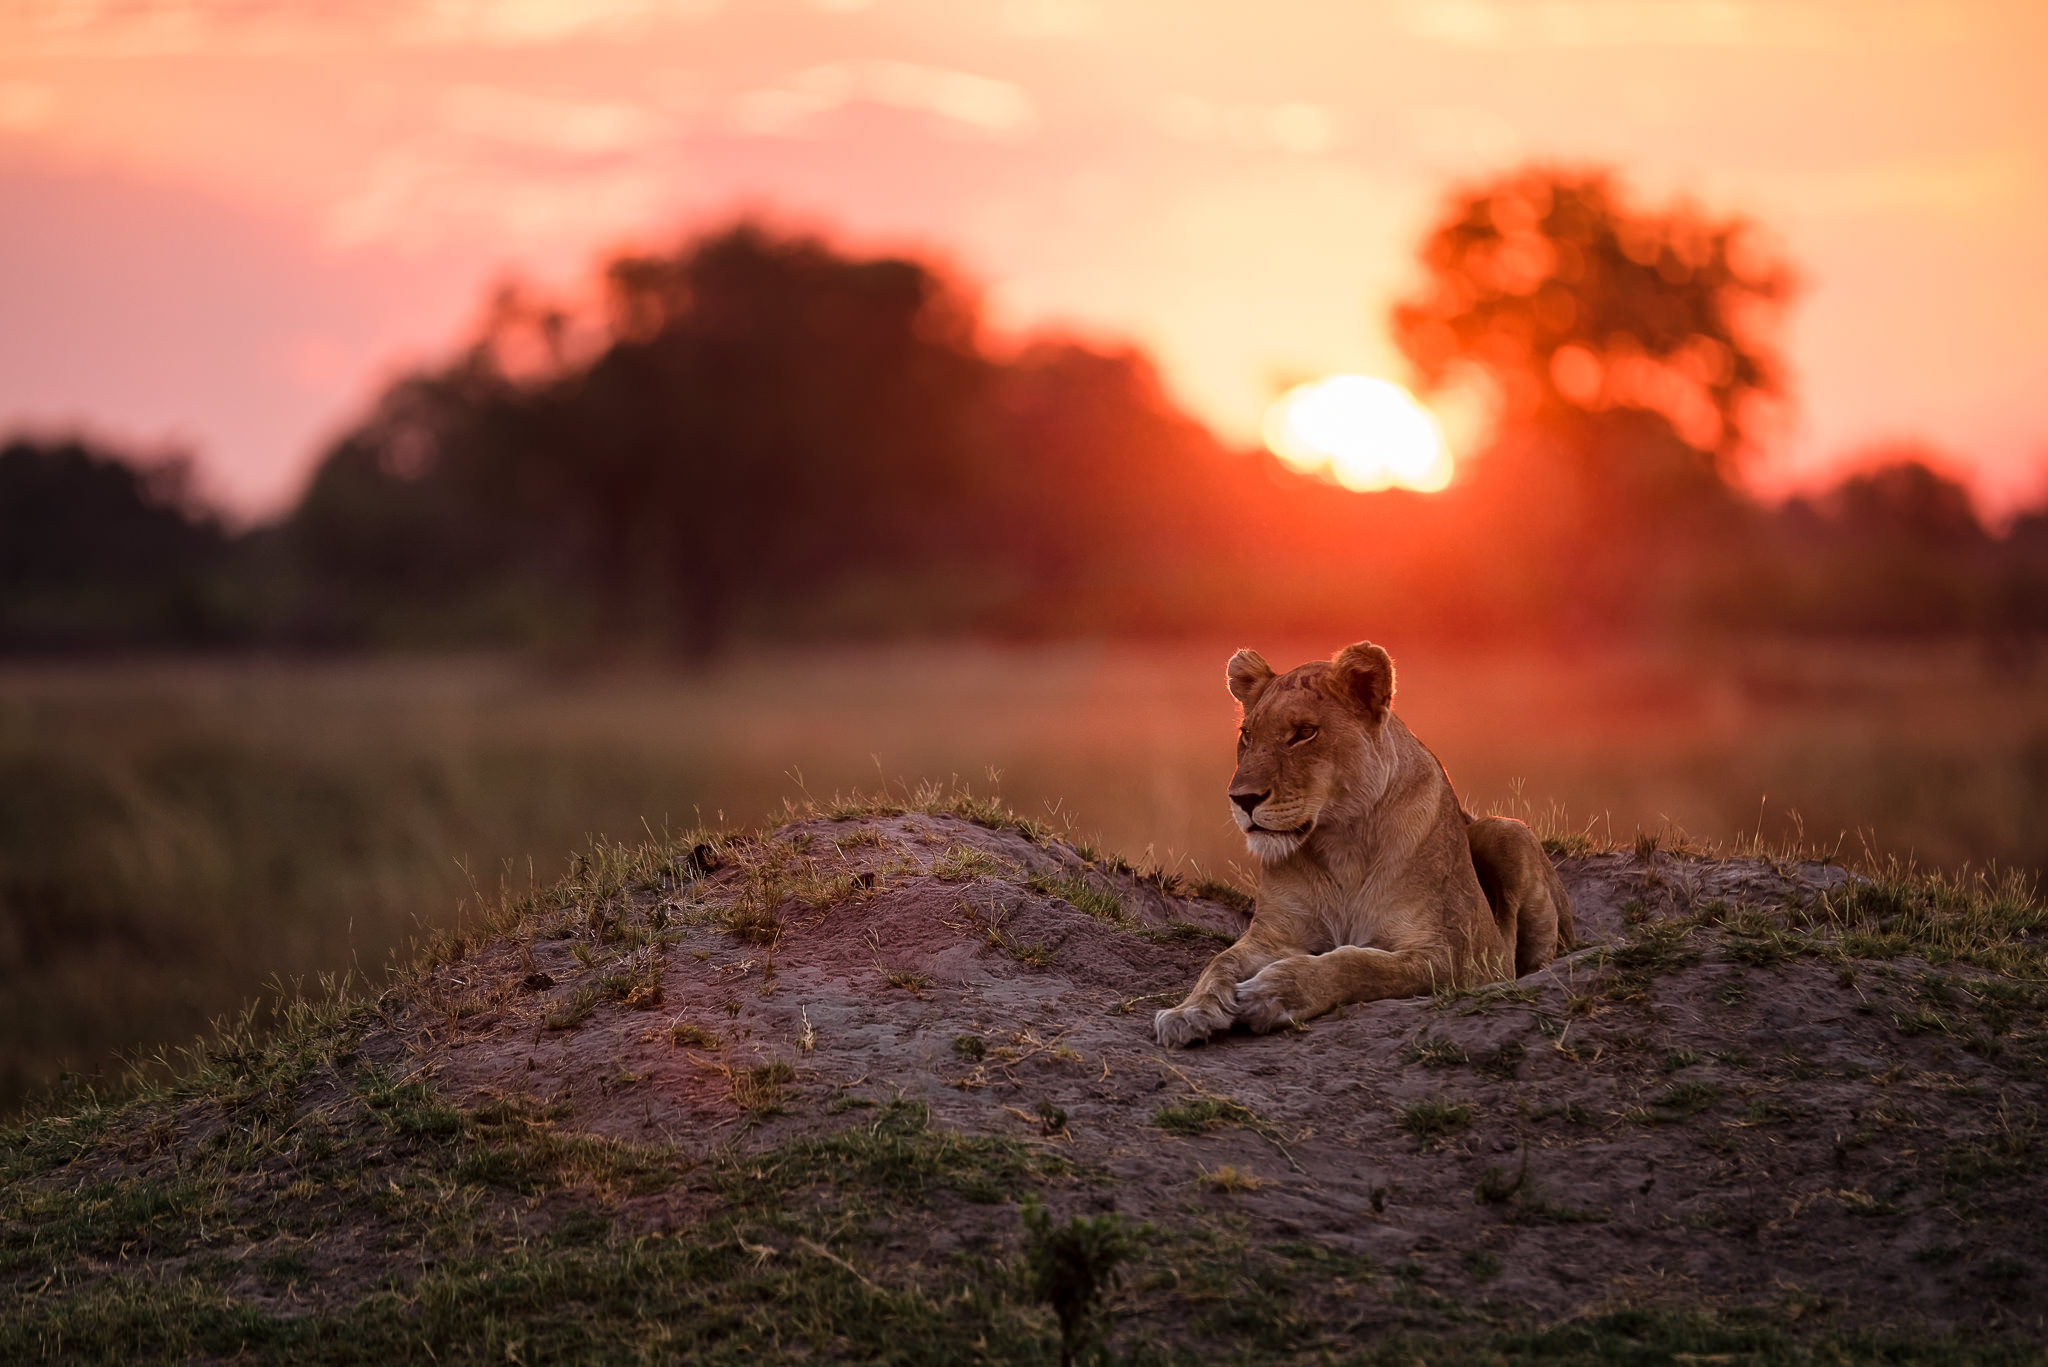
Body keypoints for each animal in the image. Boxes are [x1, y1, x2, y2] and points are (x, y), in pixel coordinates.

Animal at [1154, 641, 1573, 1048]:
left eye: (1304, 732)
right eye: (1247, 735)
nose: (1242, 799)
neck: (1342, 844)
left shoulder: (1463, 953)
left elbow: (1360, 964)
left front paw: (1274, 991)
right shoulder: (1273, 936)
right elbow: (1218, 963)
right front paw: (1187, 1013)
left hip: (1505, 832)